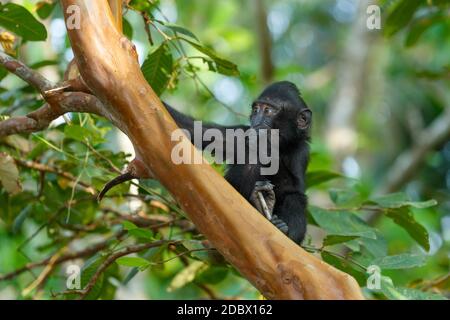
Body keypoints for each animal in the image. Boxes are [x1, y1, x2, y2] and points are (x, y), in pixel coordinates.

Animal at [163, 81, 312, 244]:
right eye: (256, 109)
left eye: (268, 111)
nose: (257, 120)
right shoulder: (239, 133)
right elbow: (193, 129)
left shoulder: (301, 152)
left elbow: (294, 189)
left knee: (295, 198)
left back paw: (279, 224)